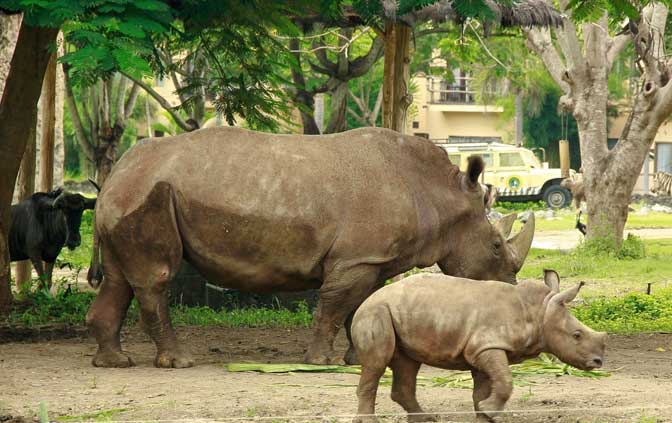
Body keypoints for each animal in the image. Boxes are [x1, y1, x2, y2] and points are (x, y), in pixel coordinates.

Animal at [85, 126, 535, 368]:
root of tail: (115, 173)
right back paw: (179, 362)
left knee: (119, 280)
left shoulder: (372, 260)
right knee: (155, 278)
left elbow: (362, 306)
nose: (511, 296)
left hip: (129, 196)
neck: (439, 194)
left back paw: (114, 362)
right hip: (149, 193)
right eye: (497, 246)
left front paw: (359, 358)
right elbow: (335, 306)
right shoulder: (355, 259)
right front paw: (321, 362)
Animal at [351, 270, 606, 423]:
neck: (539, 312)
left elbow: (485, 388)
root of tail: (364, 302)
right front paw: (489, 410)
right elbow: (505, 381)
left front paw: (485, 415)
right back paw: (370, 421)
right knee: (377, 363)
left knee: (408, 364)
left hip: (401, 314)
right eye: (577, 335)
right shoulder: (488, 345)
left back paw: (427, 419)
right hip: (375, 312)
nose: (598, 361)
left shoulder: (482, 348)